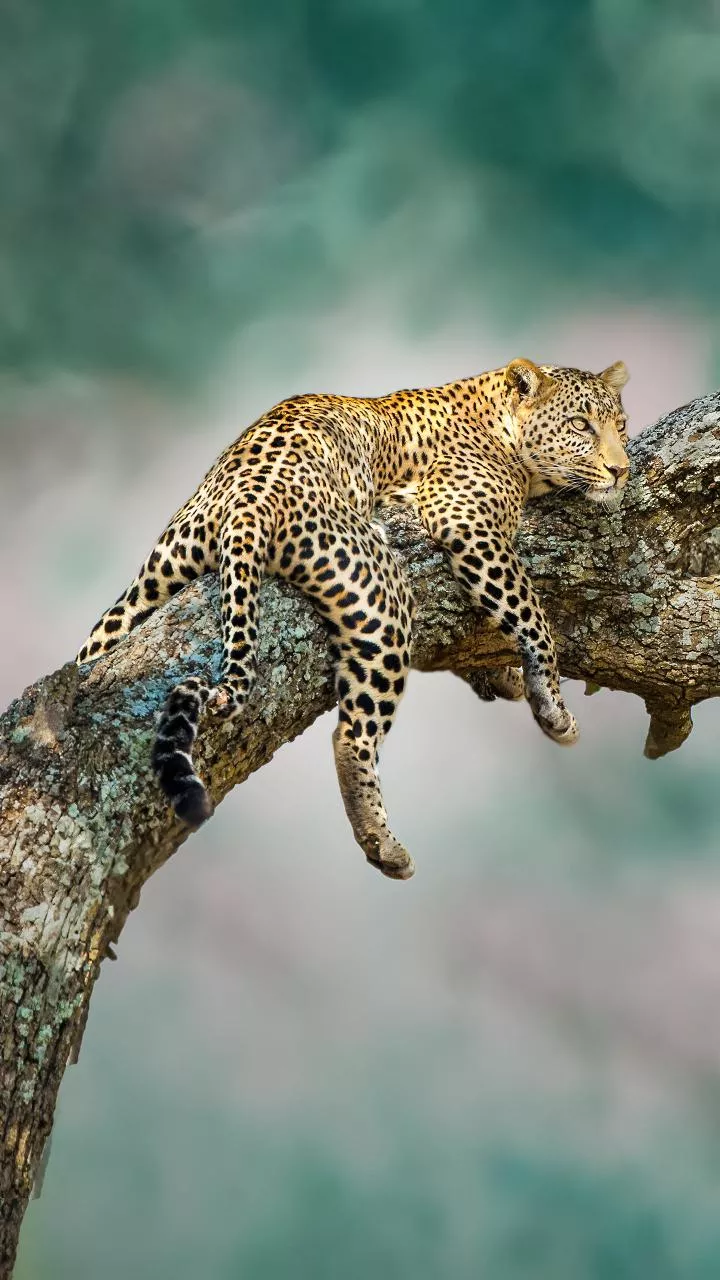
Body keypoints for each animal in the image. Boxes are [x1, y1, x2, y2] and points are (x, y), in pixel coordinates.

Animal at [78, 357, 630, 881]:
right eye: (581, 425)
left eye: (621, 425)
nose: (622, 470)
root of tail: (249, 500)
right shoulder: (468, 523)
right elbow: (530, 612)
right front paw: (550, 704)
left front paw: (504, 676)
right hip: (384, 596)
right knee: (352, 734)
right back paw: (382, 844)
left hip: (151, 584)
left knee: (94, 650)